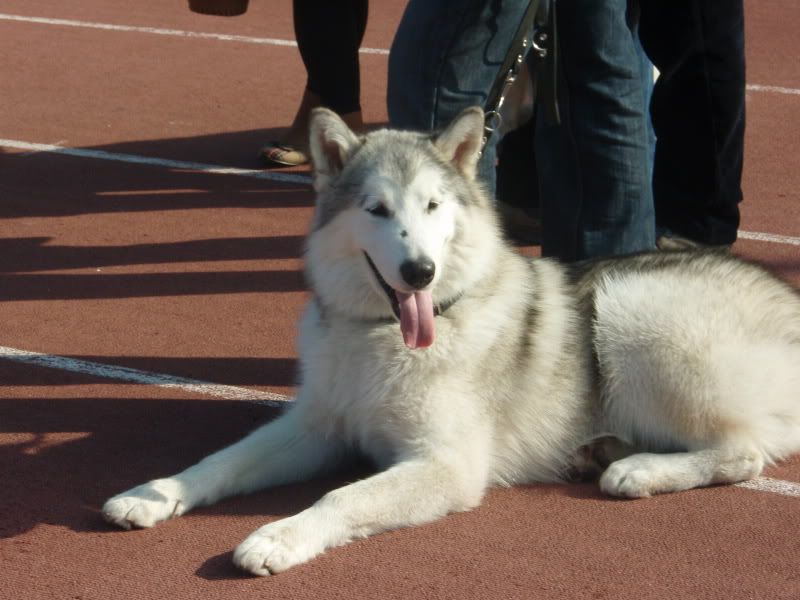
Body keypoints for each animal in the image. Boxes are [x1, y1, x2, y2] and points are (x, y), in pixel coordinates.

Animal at [103, 106, 800, 576]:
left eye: (435, 206)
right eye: (378, 210)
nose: (420, 273)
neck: (383, 337)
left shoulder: (446, 465)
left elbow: (342, 495)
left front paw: (278, 538)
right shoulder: (316, 430)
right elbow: (219, 462)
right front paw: (152, 495)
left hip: (631, 313)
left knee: (744, 452)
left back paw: (636, 470)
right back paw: (602, 450)